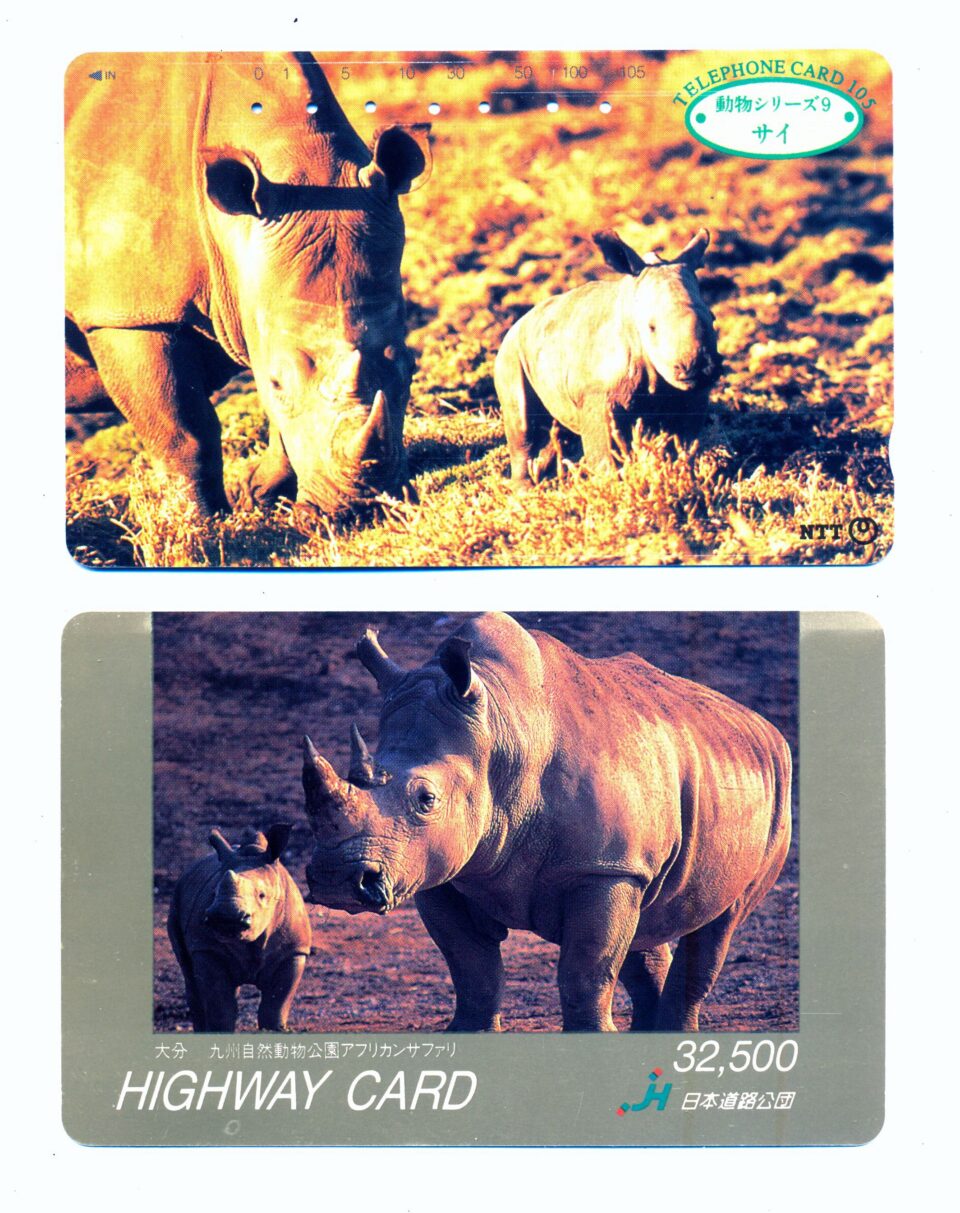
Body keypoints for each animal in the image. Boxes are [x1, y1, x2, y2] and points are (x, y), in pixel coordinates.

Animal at [65, 52, 430, 520]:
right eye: (277, 381)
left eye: (411, 366)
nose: (366, 507)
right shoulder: (127, 314)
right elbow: (184, 432)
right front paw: (202, 525)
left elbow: (279, 423)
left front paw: (259, 494)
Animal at [167, 825, 311, 1032]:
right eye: (214, 893)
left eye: (262, 895)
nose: (226, 916)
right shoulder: (207, 948)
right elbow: (221, 1007)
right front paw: (219, 1031)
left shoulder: (293, 951)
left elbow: (275, 1005)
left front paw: (275, 1029)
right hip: (176, 900)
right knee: (190, 976)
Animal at [301, 613, 791, 1033]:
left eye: (426, 799)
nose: (335, 878)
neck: (502, 736)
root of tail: (765, 726)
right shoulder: (435, 868)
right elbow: (471, 967)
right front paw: (469, 1031)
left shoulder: (603, 868)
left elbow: (587, 968)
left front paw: (591, 1036)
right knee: (648, 919)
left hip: (775, 800)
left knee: (718, 923)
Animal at [494, 229, 721, 483]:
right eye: (651, 328)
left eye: (713, 318)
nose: (700, 369)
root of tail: (518, 322)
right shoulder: (599, 394)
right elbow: (605, 451)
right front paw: (613, 483)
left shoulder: (694, 395)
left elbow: (685, 443)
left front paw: (681, 473)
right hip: (510, 353)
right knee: (523, 423)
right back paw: (527, 490)